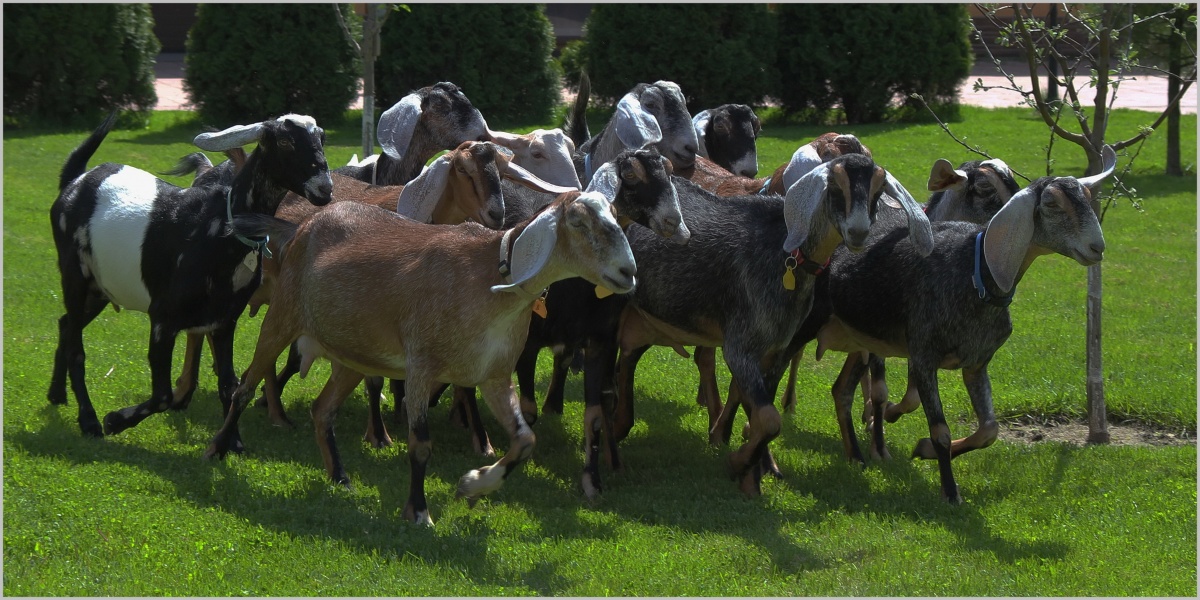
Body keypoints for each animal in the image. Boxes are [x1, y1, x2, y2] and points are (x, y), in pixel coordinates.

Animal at [47, 112, 333, 443]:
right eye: (285, 141)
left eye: (321, 137)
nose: (324, 189)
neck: (218, 227)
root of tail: (75, 181)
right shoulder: (162, 320)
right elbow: (163, 396)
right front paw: (114, 420)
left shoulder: (223, 321)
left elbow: (228, 385)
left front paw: (231, 443)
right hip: (75, 277)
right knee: (76, 347)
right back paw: (89, 420)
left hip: (100, 288)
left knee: (65, 324)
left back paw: (56, 394)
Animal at [203, 191, 637, 526]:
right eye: (578, 221)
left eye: (617, 216)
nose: (628, 272)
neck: (488, 281)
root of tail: (303, 226)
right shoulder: (421, 366)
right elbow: (421, 445)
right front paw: (418, 511)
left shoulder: (494, 375)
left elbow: (525, 440)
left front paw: (474, 485)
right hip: (282, 316)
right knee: (245, 387)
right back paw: (217, 448)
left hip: (352, 355)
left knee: (322, 410)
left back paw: (340, 477)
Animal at [602, 154, 933, 498]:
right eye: (834, 185)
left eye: (877, 190)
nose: (858, 232)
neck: (783, 254)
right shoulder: (740, 347)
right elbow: (769, 417)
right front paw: (738, 463)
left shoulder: (775, 349)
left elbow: (762, 413)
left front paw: (753, 473)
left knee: (629, 355)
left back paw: (620, 424)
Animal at [813, 147, 1115, 503]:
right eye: (1052, 203)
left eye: (1088, 197)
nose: (1097, 247)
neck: (973, 274)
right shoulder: (923, 355)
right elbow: (934, 425)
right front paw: (949, 491)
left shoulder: (976, 362)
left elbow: (989, 430)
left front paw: (921, 449)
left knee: (841, 390)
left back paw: (856, 455)